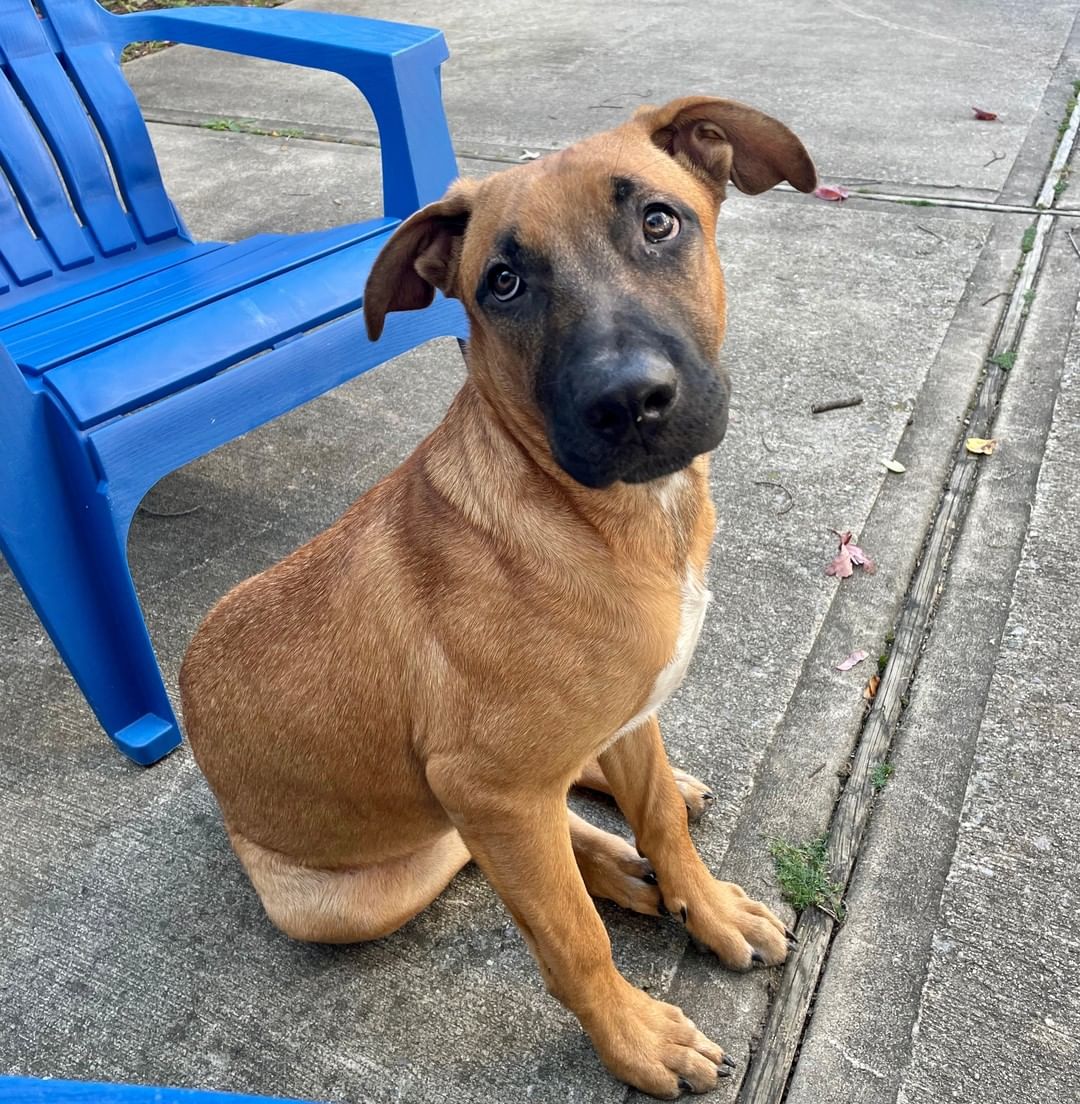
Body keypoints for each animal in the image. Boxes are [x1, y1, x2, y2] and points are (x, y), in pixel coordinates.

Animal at [181, 97, 812, 1095]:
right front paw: (636, 1039)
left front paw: (704, 905)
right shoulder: (488, 789)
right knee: (488, 849)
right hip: (363, 890)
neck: (602, 517)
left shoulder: (634, 710)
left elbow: (662, 820)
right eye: (504, 283)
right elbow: (571, 938)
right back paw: (615, 872)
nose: (630, 403)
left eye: (660, 221)